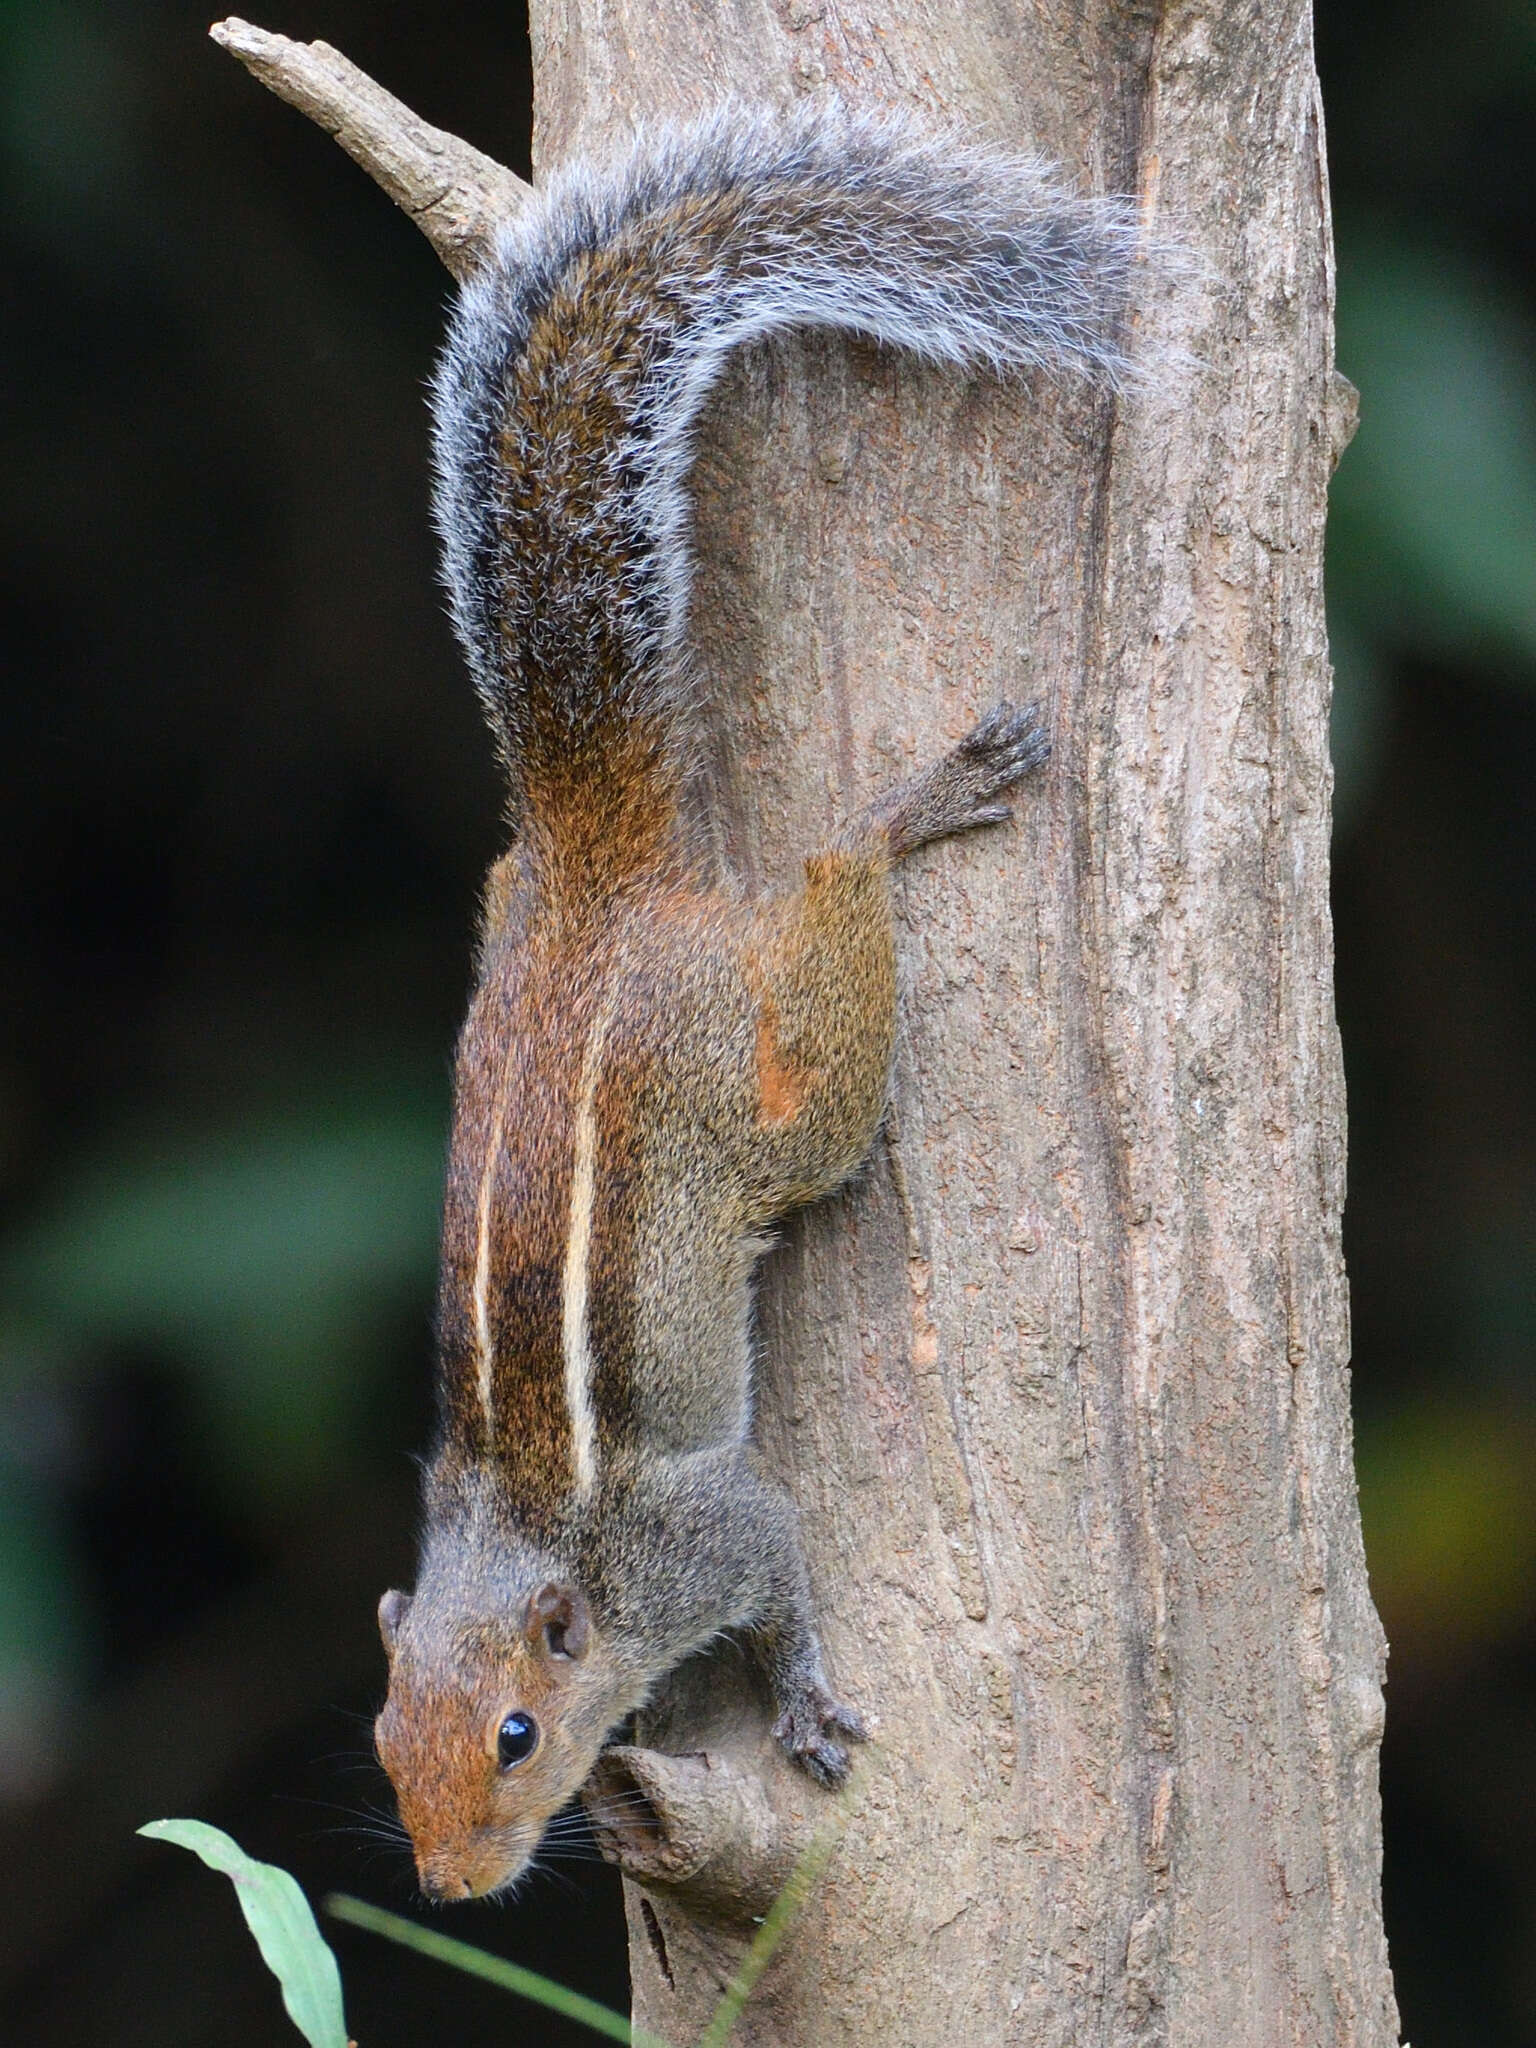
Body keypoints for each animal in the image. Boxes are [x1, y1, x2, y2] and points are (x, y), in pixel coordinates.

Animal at [372, 103, 1146, 1900]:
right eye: (381, 1740)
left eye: (516, 1733)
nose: (450, 1887)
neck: (524, 1541)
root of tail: (591, 869)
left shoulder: (701, 1534)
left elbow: (781, 1571)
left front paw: (794, 1706)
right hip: (510, 920)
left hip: (762, 1099)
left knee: (832, 961)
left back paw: (905, 811)